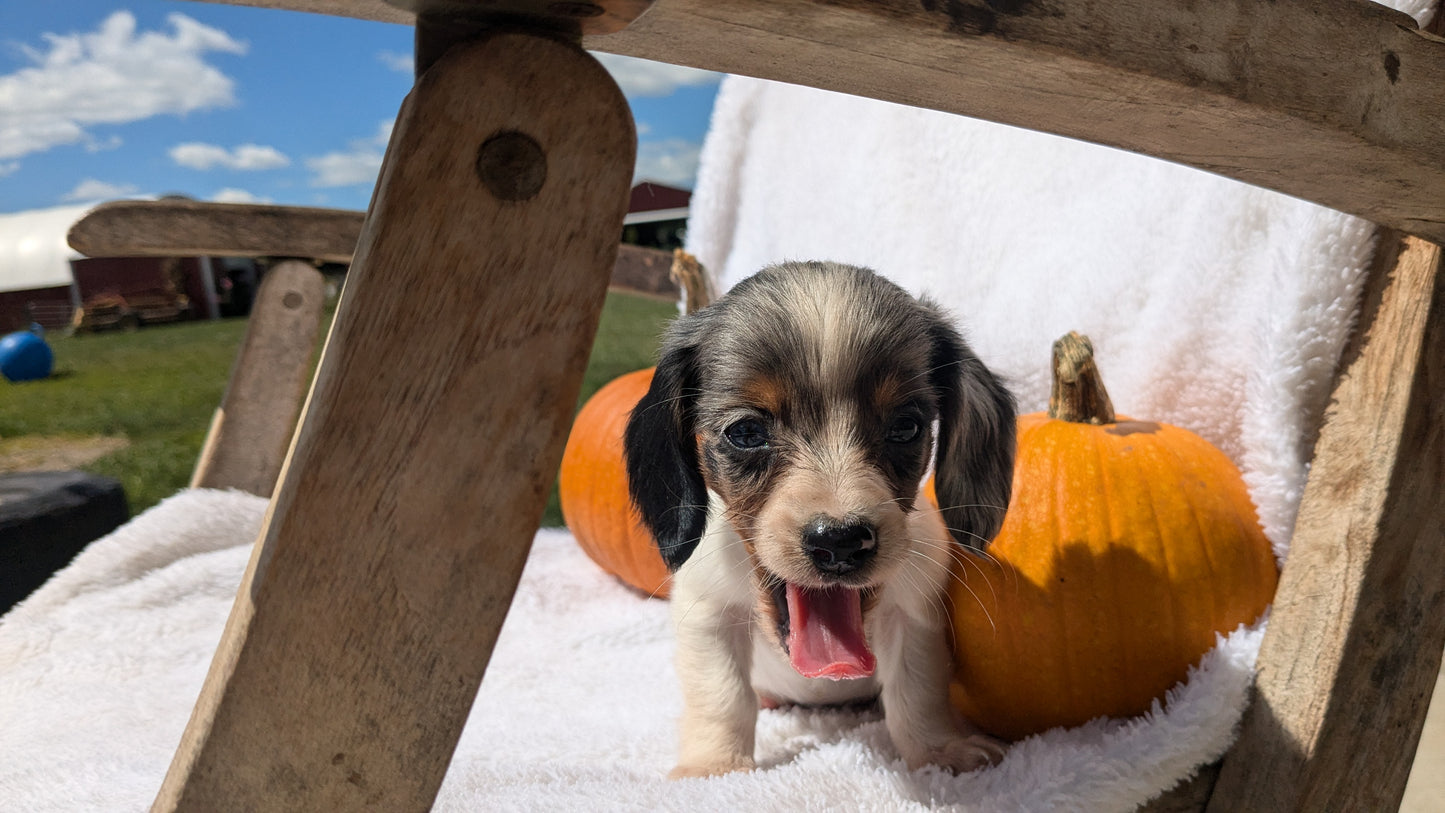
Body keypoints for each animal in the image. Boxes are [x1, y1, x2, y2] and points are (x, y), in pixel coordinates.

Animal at [621, 264, 1017, 779]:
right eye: (746, 432)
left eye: (906, 426)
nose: (842, 542)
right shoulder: (710, 616)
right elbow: (723, 696)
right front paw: (715, 766)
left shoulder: (913, 617)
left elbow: (917, 694)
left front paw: (938, 752)